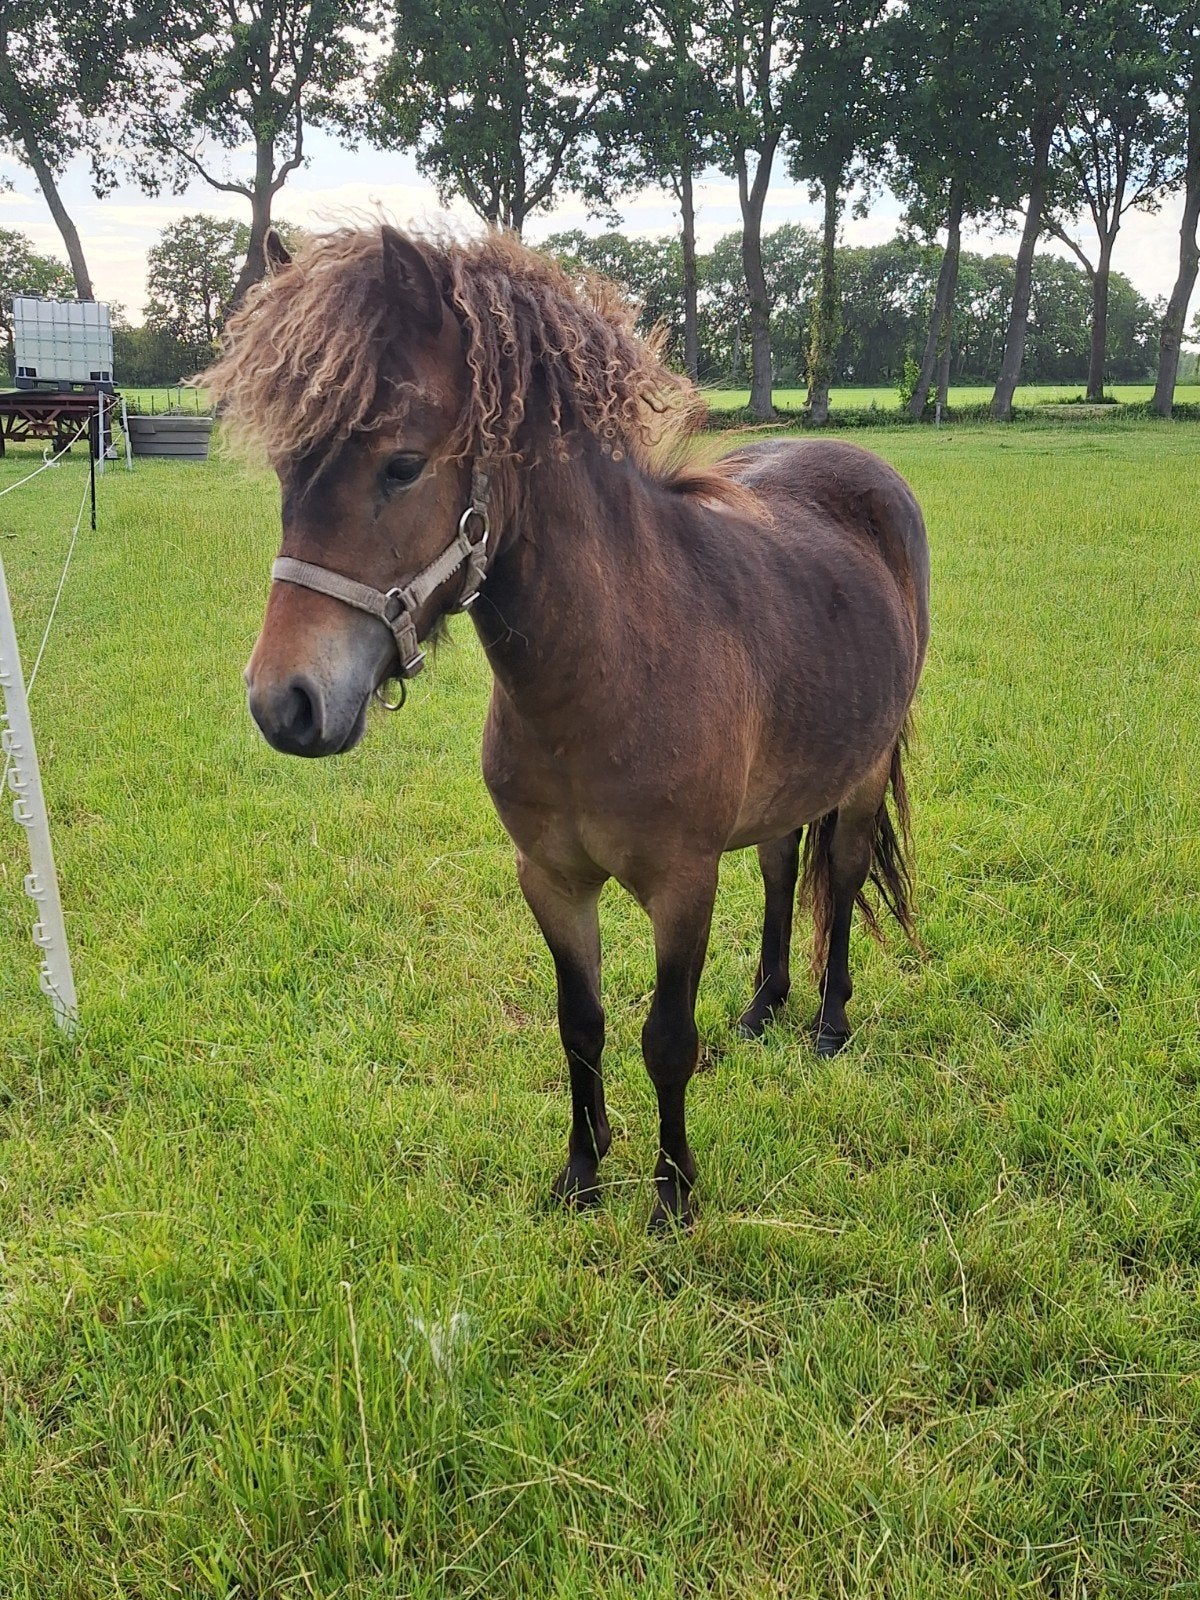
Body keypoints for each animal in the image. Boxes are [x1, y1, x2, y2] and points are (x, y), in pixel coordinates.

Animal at [209, 224, 930, 1231]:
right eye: (285, 470)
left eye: (402, 464)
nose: (286, 702)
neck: (606, 674)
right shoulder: (550, 879)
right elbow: (579, 1026)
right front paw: (582, 1174)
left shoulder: (682, 884)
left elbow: (666, 1038)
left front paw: (672, 1195)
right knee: (784, 868)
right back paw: (762, 1008)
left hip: (859, 777)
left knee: (844, 872)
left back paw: (827, 1024)